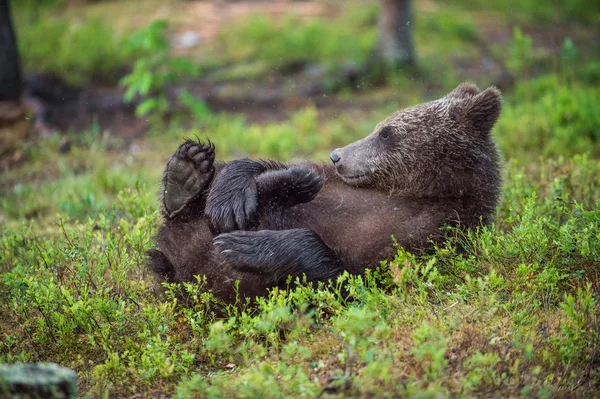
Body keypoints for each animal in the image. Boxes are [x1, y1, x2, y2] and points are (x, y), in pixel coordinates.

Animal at [149, 84, 502, 304]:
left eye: (386, 133)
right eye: (379, 127)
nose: (337, 155)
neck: (412, 193)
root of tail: (171, 258)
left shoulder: (424, 238)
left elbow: (347, 280)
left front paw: (243, 246)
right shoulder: (338, 183)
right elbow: (265, 164)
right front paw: (230, 197)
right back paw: (189, 175)